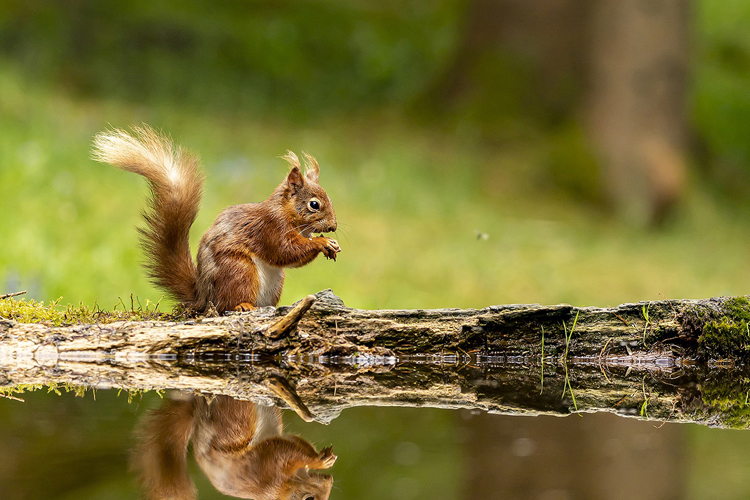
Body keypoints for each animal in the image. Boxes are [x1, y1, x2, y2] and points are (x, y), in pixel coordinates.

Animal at [93, 125, 340, 312]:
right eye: (314, 204)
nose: (334, 226)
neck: (287, 214)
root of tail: (204, 297)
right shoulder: (270, 227)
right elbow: (285, 250)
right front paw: (322, 242)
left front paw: (331, 244)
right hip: (239, 270)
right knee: (227, 305)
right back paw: (242, 306)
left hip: (274, 282)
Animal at [134, 394, 336, 500]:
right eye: (310, 499)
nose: (330, 481)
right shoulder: (272, 463)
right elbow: (288, 451)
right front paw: (319, 461)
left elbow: (297, 442)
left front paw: (325, 459)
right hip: (237, 422)